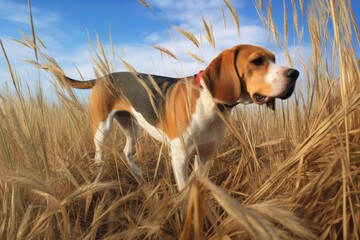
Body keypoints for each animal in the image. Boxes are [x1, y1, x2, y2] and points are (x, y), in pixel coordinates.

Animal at [55, 44, 298, 191]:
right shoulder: (180, 157)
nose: (295, 74)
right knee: (99, 153)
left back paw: (139, 175)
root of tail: (101, 78)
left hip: (131, 126)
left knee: (126, 151)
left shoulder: (206, 156)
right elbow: (183, 191)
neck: (210, 103)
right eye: (257, 61)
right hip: (102, 128)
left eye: (274, 58)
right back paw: (98, 178)